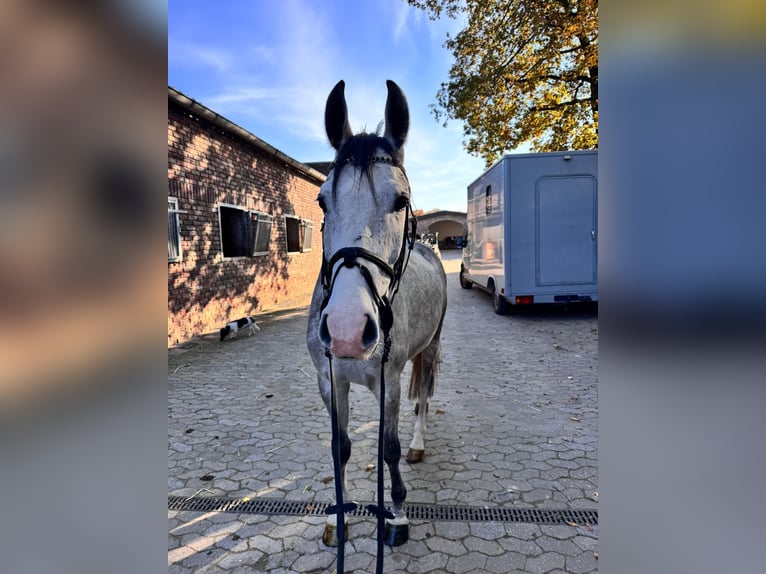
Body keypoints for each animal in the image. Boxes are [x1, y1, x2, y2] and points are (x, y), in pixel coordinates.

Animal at [306, 80, 447, 548]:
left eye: (401, 200)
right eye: (322, 201)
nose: (347, 330)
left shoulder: (390, 381)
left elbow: (389, 448)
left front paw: (397, 517)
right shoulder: (330, 381)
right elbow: (341, 447)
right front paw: (339, 518)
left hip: (430, 347)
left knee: (424, 398)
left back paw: (420, 443)